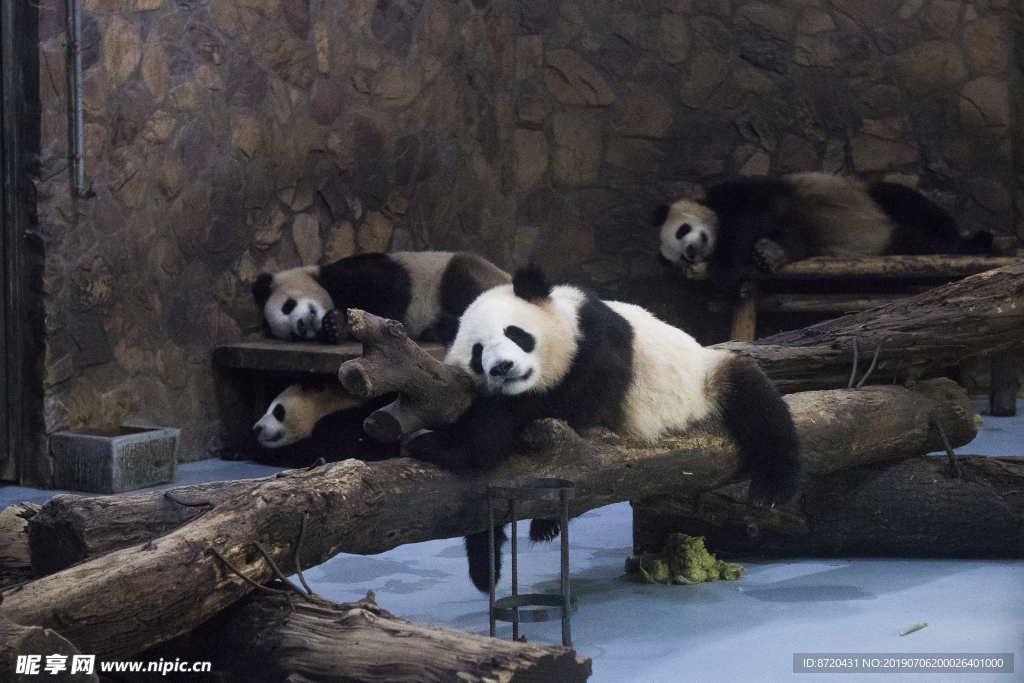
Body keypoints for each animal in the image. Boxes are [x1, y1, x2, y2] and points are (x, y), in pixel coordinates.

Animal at [253, 250, 509, 344]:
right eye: (293, 335)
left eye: (287, 306)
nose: (302, 325)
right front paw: (335, 327)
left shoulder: (352, 272)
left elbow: (393, 289)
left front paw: (339, 322)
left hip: (476, 274)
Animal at [651, 171, 995, 294]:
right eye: (682, 258)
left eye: (682, 231)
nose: (692, 251)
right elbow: (794, 237)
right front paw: (770, 253)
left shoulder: (740, 194)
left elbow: (755, 214)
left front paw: (724, 269)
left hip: (870, 198)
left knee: (908, 203)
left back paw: (962, 243)